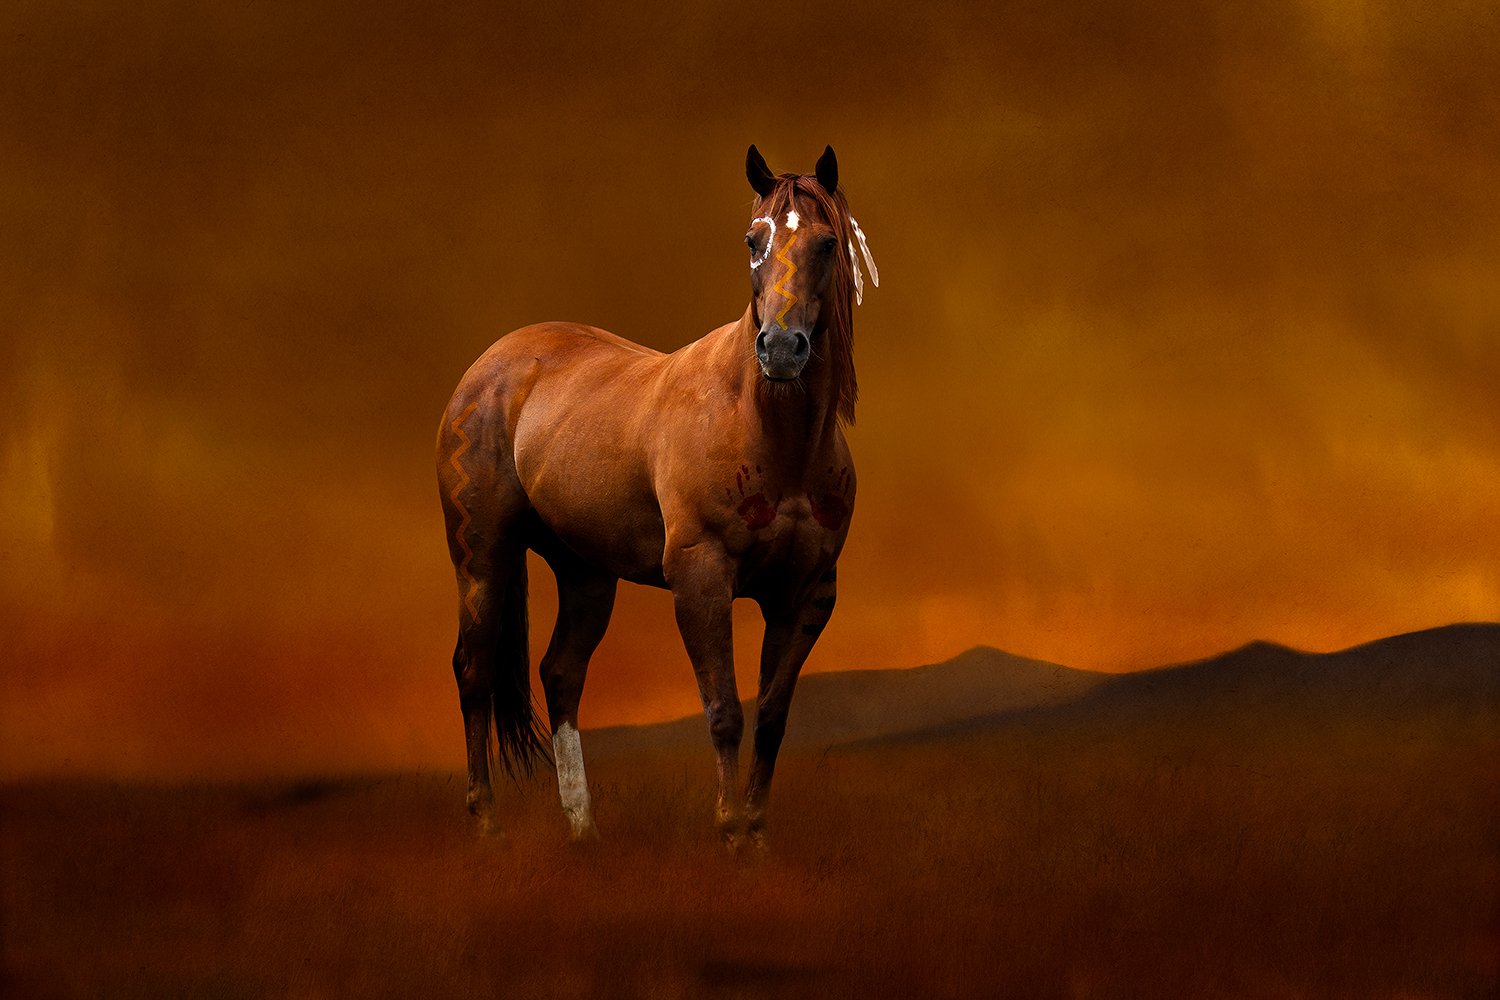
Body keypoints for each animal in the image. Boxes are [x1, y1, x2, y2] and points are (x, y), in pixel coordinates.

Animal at [435, 144, 878, 848]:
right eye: (753, 239)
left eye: (829, 243)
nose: (782, 348)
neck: (765, 427)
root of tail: (492, 365)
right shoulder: (701, 576)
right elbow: (725, 711)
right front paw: (729, 833)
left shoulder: (806, 595)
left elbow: (773, 718)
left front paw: (756, 837)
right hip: (481, 554)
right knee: (473, 669)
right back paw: (488, 823)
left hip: (585, 571)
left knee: (561, 674)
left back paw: (584, 829)